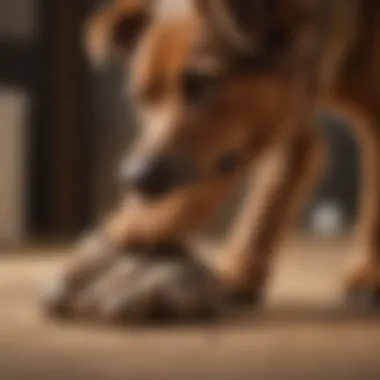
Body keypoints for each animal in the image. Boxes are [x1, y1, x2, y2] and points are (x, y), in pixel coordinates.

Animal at [44, 0, 380, 320]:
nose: (134, 177)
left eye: (198, 83)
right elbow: (266, 198)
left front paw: (368, 278)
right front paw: (236, 273)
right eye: (141, 96)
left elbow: (373, 209)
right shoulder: (286, 115)